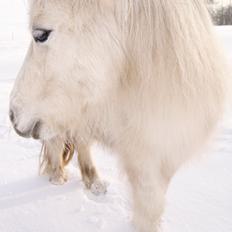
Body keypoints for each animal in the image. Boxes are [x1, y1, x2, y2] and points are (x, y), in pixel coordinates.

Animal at [9, 0, 228, 231]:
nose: (12, 114)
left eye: (41, 34)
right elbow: (148, 208)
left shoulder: (163, 155)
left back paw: (94, 182)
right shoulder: (142, 160)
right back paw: (58, 176)